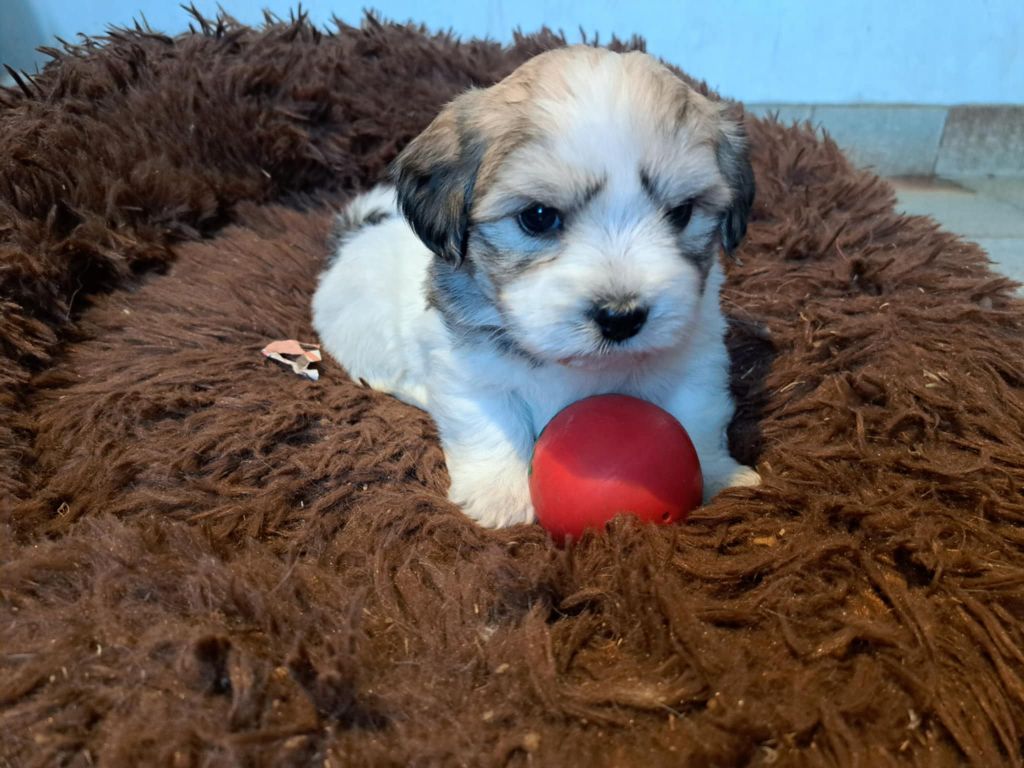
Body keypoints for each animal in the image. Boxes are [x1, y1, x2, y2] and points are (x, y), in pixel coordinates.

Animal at [311, 45, 761, 528]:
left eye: (681, 213)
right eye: (538, 217)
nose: (621, 317)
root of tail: (356, 235)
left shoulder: (697, 359)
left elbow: (696, 414)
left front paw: (719, 476)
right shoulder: (466, 370)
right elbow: (491, 422)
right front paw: (500, 494)